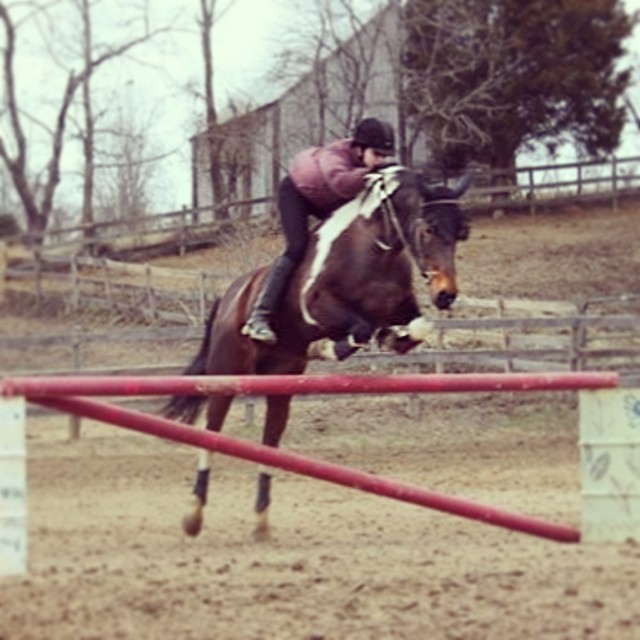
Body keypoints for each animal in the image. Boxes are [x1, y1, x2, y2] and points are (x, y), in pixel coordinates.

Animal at [162, 166, 472, 540]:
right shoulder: (316, 306)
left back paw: (261, 519)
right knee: (212, 431)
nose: (446, 295)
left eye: (461, 232)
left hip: (281, 381)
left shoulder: (399, 309)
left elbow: (416, 327)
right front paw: (327, 346)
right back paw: (194, 514)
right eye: (428, 229)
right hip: (227, 372)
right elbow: (359, 328)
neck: (374, 248)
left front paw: (391, 339)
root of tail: (229, 295)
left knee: (270, 440)